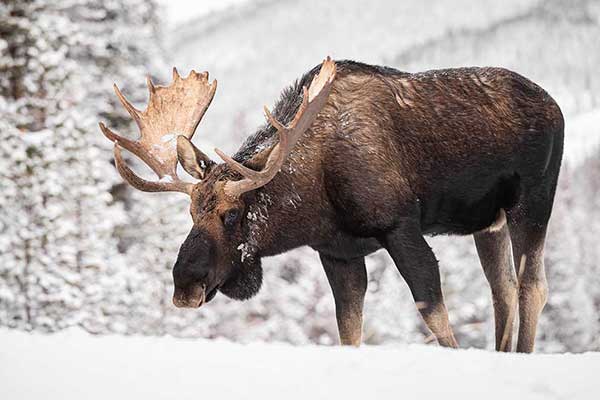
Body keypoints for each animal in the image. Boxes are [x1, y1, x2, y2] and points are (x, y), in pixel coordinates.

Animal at [98, 57, 564, 354]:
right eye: (192, 212)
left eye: (232, 214)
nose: (184, 285)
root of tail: (554, 104)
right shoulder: (338, 253)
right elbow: (348, 331)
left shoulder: (400, 227)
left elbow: (435, 315)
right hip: (488, 221)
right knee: (502, 288)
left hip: (533, 199)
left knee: (532, 285)